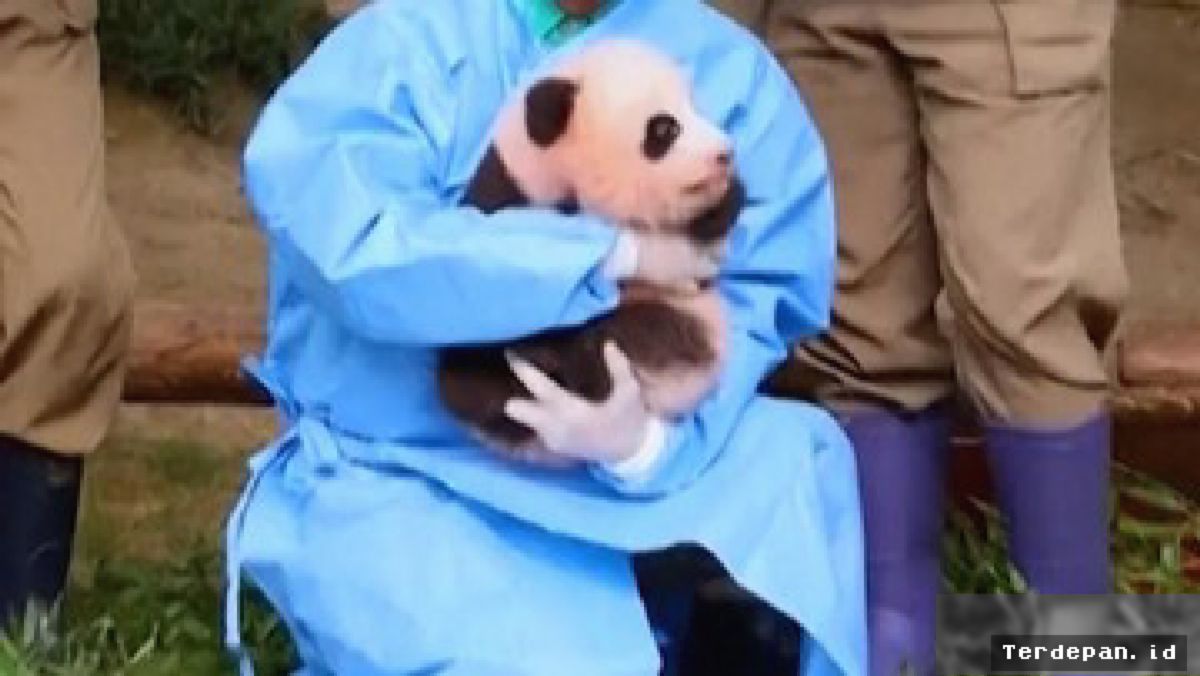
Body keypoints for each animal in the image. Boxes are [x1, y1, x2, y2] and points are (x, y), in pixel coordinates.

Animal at [438, 38, 745, 452]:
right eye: (664, 128)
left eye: (697, 108)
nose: (724, 153)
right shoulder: (508, 191)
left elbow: (718, 215)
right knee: (467, 377)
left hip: (686, 319)